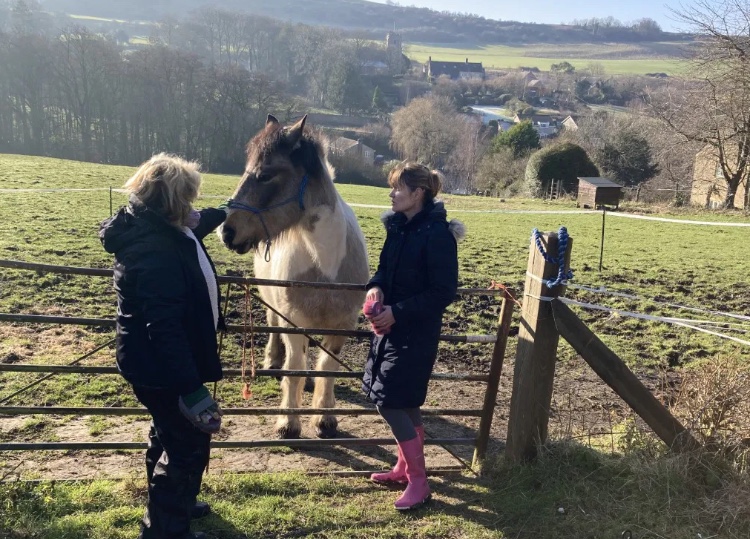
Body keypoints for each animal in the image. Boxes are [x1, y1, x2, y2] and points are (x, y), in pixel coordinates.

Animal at [219, 116, 368, 440]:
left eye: (265, 175)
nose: (226, 231)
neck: (325, 265)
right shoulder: (293, 321)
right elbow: (295, 367)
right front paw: (289, 423)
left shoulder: (343, 324)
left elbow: (327, 366)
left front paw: (325, 419)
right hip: (273, 304)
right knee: (277, 334)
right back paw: (273, 360)